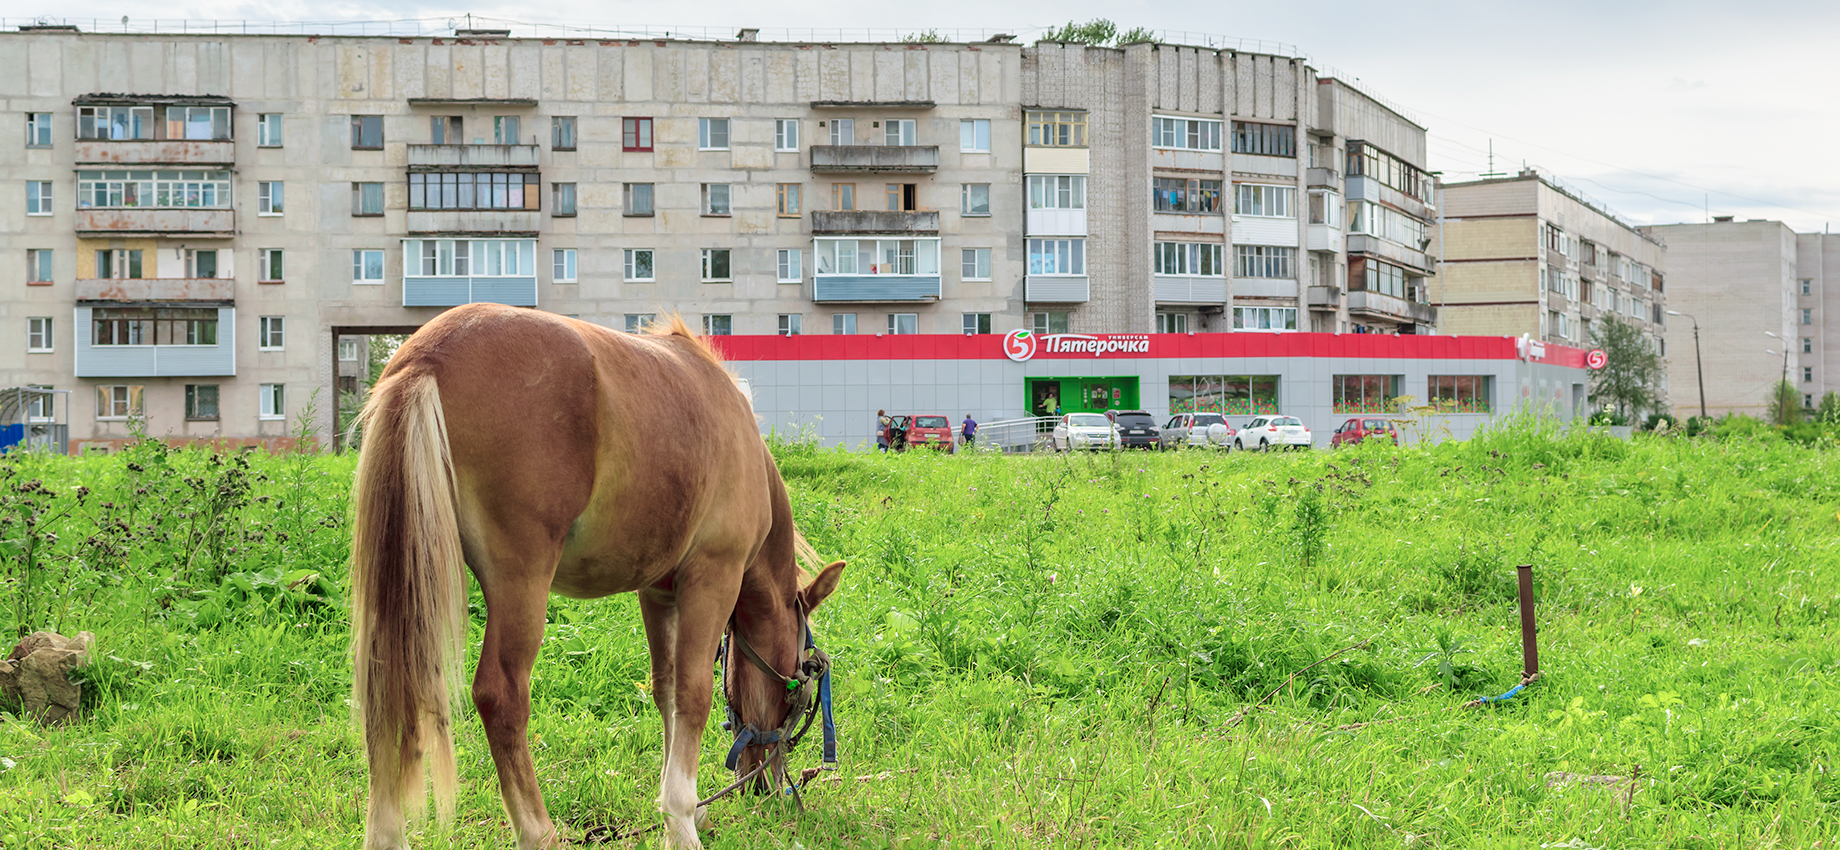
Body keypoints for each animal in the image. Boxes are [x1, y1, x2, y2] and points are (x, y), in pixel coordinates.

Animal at [345, 305, 846, 850]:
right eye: (802, 681)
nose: (766, 785)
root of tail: (426, 355)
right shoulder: (711, 578)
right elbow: (692, 694)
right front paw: (683, 817)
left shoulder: (658, 593)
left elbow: (666, 692)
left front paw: (682, 815)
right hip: (520, 582)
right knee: (501, 695)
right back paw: (538, 831)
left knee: (385, 690)